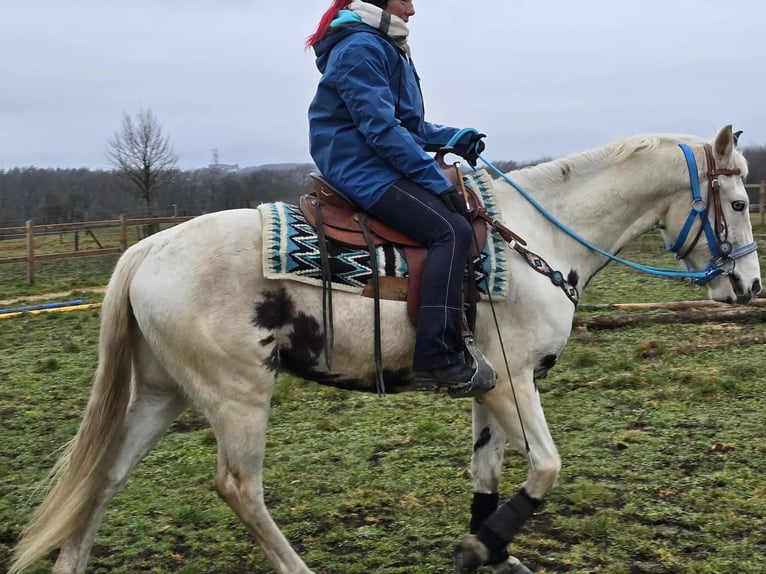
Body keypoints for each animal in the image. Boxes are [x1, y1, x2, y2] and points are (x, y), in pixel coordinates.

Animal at [9, 125, 761, 574]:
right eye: (739, 202)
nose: (750, 286)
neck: (539, 239)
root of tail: (146, 251)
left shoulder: (487, 385)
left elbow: (486, 472)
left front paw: (488, 551)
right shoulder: (513, 380)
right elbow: (545, 469)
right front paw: (482, 545)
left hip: (163, 394)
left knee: (104, 477)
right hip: (237, 395)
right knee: (238, 488)